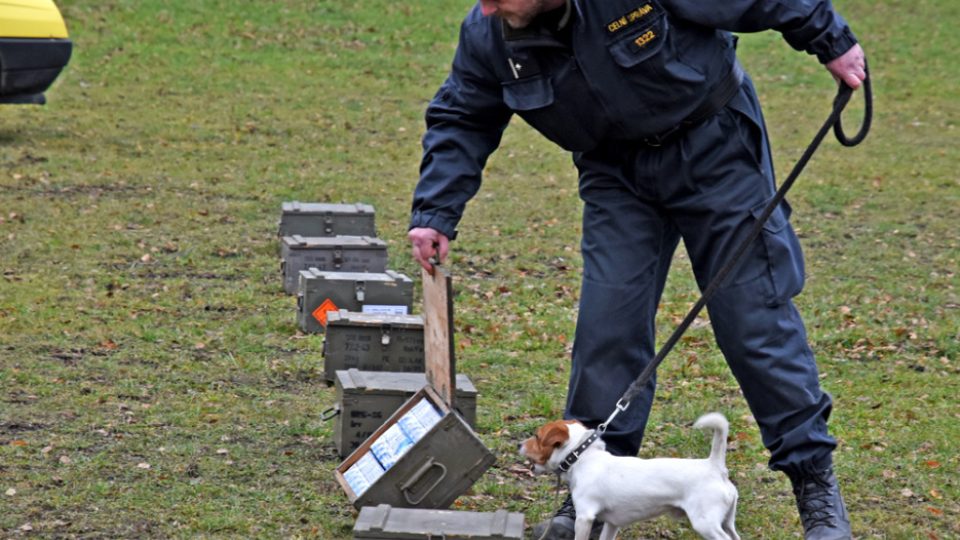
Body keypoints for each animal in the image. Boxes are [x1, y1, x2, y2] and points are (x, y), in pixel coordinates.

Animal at [520, 412, 740, 536]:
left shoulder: (584, 518)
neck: (584, 458)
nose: (518, 444)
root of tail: (714, 466)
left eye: (537, 437)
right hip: (727, 522)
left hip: (706, 524)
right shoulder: (611, 523)